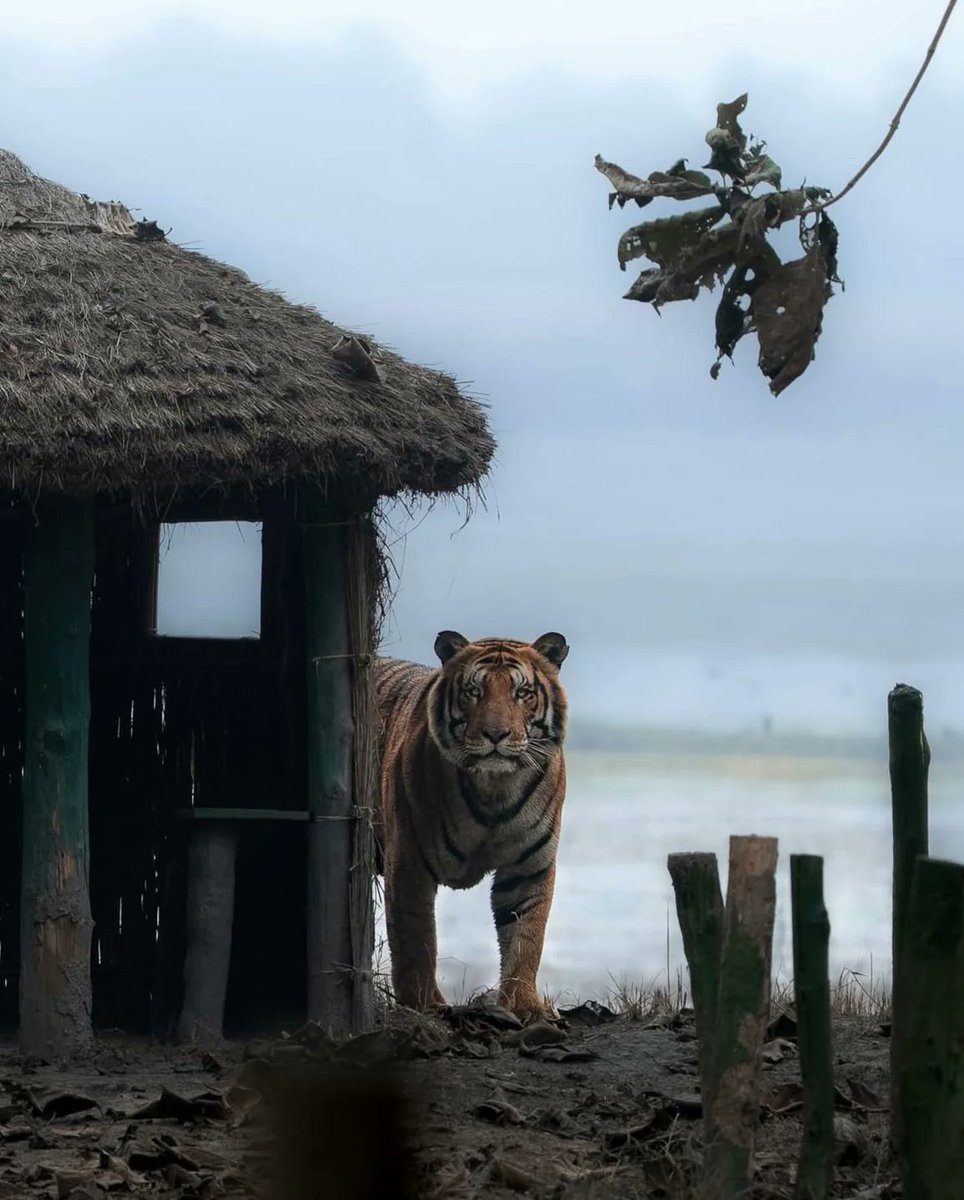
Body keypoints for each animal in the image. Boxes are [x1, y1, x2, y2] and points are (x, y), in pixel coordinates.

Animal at [373, 631, 570, 1021]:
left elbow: (526, 935)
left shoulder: (529, 865)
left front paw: (524, 1006)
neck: (496, 787)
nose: (496, 734)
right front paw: (423, 1004)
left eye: (522, 693)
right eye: (473, 691)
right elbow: (416, 935)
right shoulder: (409, 860)